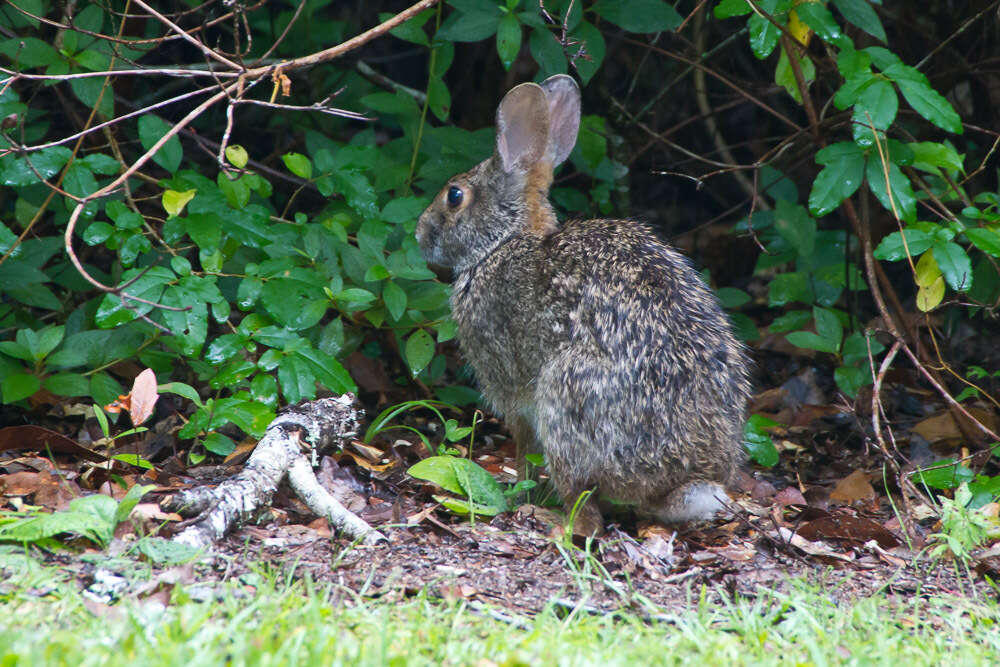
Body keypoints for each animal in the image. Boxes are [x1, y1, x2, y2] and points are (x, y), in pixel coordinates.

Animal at [414, 74, 752, 536]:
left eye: (455, 196)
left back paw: (551, 519)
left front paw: (517, 487)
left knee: (586, 514)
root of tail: (681, 483)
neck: (502, 243)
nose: (419, 232)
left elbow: (521, 442)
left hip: (566, 398)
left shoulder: (508, 385)